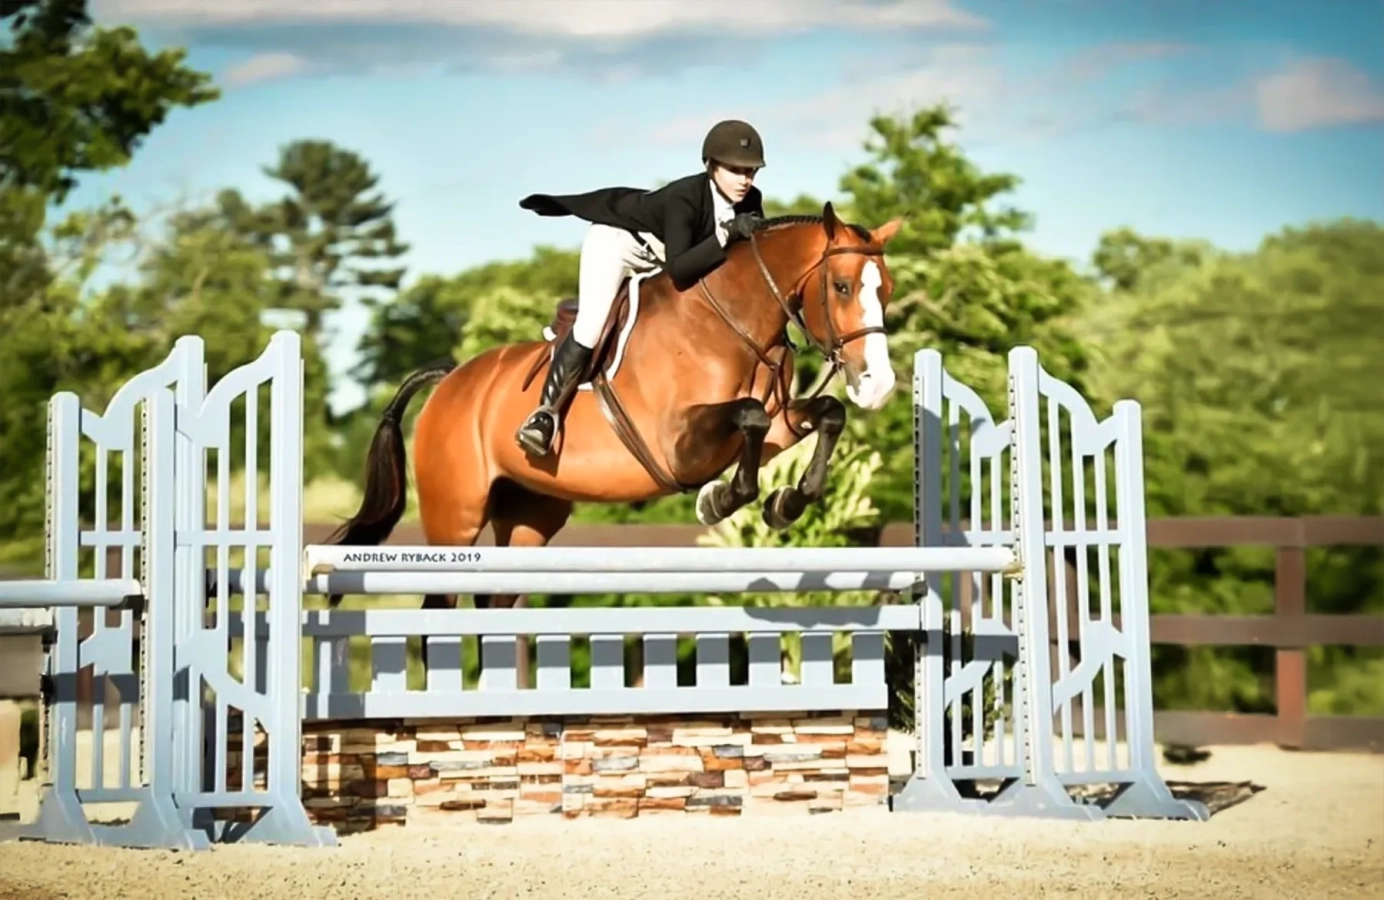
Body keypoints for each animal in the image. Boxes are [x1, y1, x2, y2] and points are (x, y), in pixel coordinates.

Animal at [325, 202, 904, 622]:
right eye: (842, 286)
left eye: (888, 289)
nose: (878, 385)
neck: (733, 321)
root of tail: (449, 381)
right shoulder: (677, 445)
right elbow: (749, 418)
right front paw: (718, 501)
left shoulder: (777, 422)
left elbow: (825, 413)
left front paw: (785, 503)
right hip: (455, 520)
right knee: (438, 606)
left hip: (529, 517)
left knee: (495, 600)